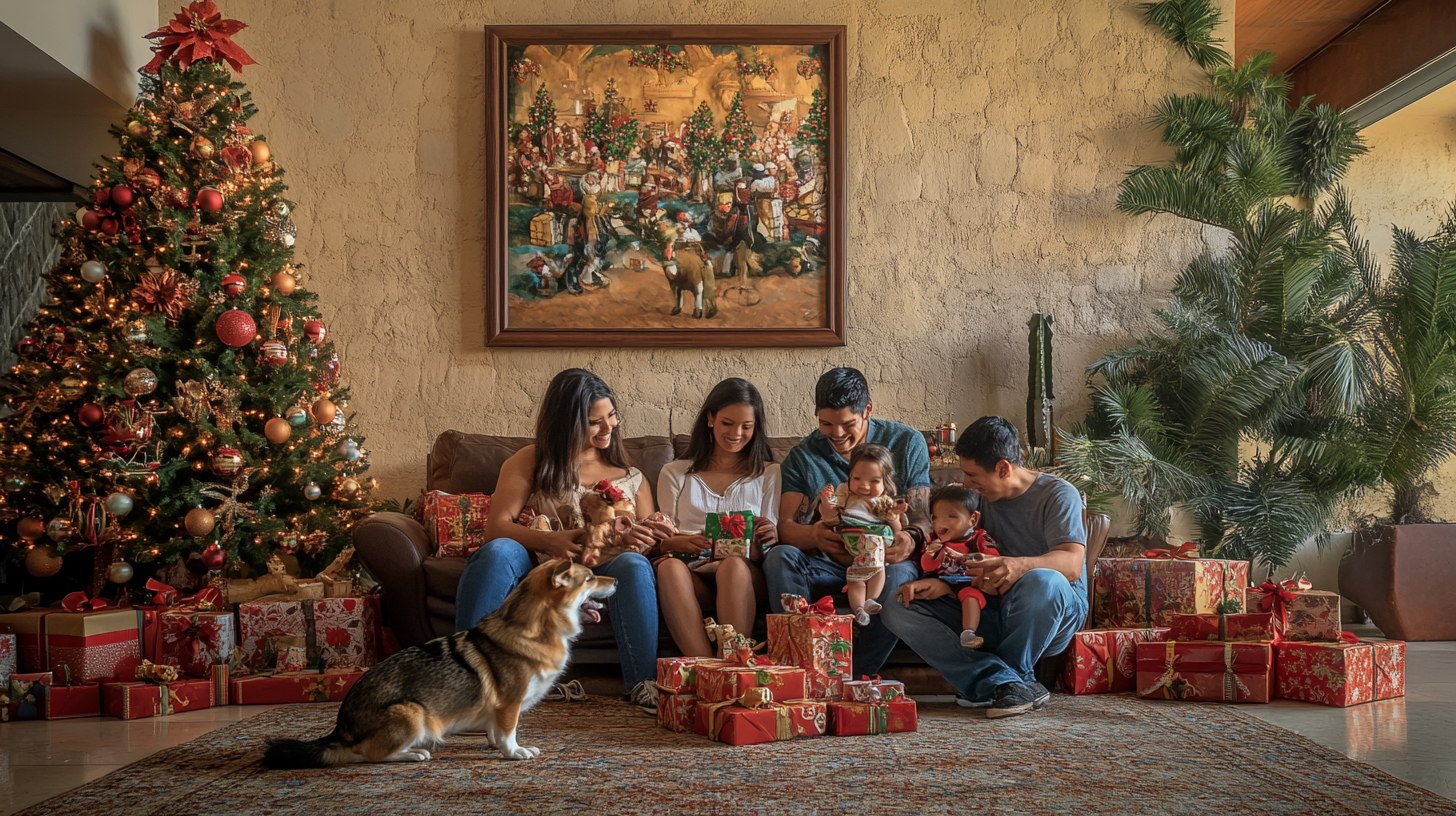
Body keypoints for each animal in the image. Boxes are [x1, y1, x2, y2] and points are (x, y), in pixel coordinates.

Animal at [262, 553, 614, 763]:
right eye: (589, 578)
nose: (617, 580)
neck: (537, 627)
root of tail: (340, 731)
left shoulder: (497, 709)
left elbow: (495, 731)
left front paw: (495, 745)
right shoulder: (509, 704)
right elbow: (509, 732)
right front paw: (514, 752)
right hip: (412, 713)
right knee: (371, 754)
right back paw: (413, 754)